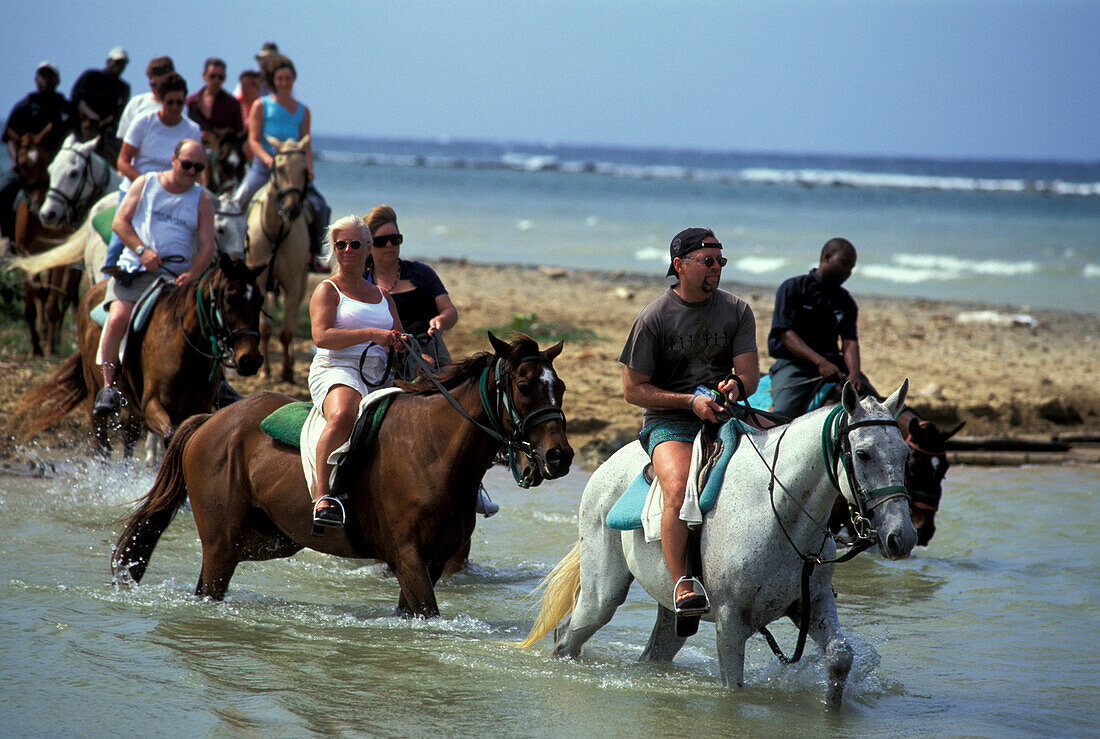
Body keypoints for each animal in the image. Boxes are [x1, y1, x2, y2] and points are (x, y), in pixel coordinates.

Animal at [5, 123, 81, 354]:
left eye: (46, 161)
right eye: (22, 164)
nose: (40, 206)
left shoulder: (58, 258)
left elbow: (54, 300)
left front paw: (48, 347)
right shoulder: (23, 255)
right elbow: (33, 300)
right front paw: (36, 346)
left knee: (67, 295)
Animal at [17, 254, 268, 455]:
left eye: (260, 300)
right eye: (229, 297)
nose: (251, 359)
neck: (186, 351)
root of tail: (92, 293)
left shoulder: (199, 407)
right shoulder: (152, 406)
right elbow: (170, 435)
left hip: (133, 408)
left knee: (128, 440)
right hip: (95, 393)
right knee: (103, 446)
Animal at [111, 332, 576, 615]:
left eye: (561, 387)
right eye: (523, 385)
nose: (560, 457)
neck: (434, 450)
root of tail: (210, 420)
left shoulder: (433, 562)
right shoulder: (408, 558)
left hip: (268, 539)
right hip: (222, 545)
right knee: (210, 586)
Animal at [246, 134, 312, 384]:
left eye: (305, 170)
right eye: (280, 168)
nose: (292, 209)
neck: (276, 231)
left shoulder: (292, 283)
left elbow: (286, 331)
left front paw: (286, 371)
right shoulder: (259, 282)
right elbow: (265, 329)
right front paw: (265, 370)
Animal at [519, 380, 915, 708]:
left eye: (905, 454)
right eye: (863, 454)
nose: (903, 537)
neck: (777, 510)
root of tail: (605, 466)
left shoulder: (811, 603)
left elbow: (840, 658)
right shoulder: (730, 620)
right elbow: (733, 689)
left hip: (674, 611)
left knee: (652, 652)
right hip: (603, 594)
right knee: (567, 636)